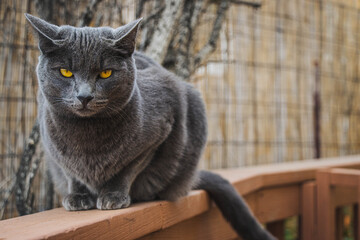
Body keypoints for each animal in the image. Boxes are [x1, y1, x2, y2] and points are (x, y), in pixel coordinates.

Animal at [26, 13, 276, 240]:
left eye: (106, 73)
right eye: (65, 72)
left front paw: (114, 195)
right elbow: (71, 173)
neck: (87, 134)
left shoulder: (160, 129)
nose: (84, 96)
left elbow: (129, 167)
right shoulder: (54, 150)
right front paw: (78, 197)